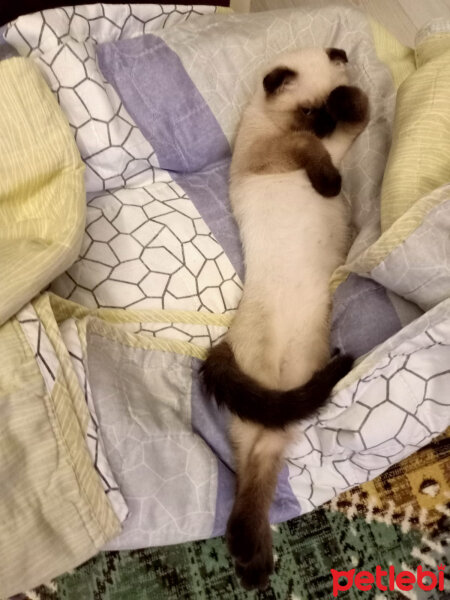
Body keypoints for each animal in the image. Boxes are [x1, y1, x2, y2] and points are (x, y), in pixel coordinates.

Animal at [200, 48, 370, 592]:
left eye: (323, 110)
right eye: (309, 110)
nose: (325, 120)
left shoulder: (337, 140)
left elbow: (358, 107)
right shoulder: (283, 148)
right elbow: (313, 142)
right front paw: (330, 184)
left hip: (277, 413)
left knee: (255, 477)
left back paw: (252, 562)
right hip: (270, 410)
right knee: (255, 473)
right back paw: (253, 565)